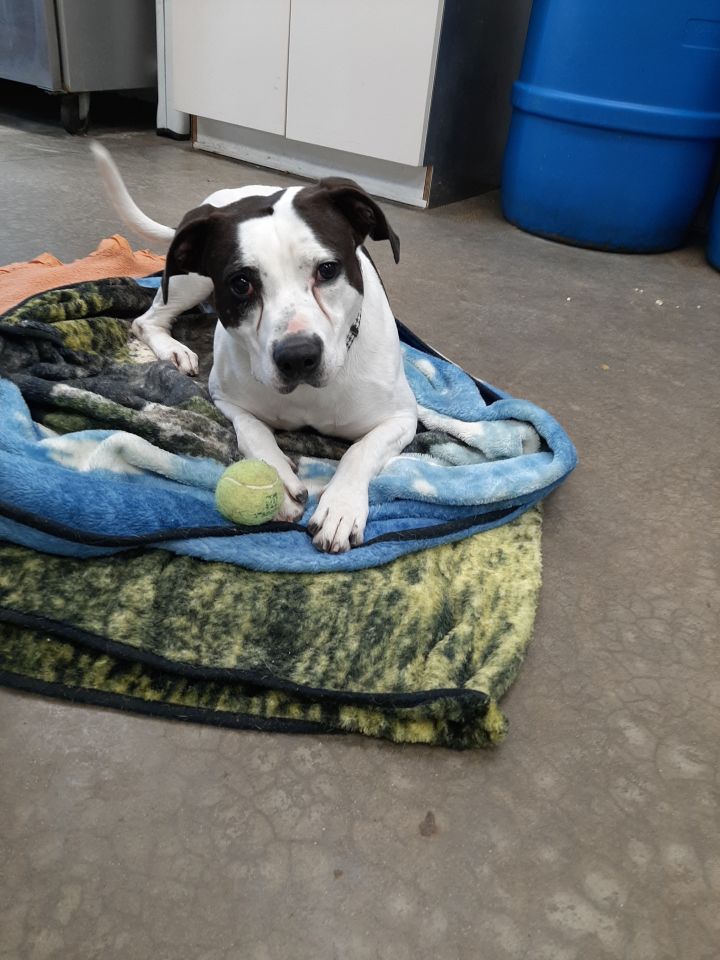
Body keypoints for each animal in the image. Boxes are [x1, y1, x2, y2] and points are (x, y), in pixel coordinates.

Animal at [91, 142, 416, 552]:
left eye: (327, 269)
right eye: (241, 283)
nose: (298, 357)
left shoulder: (402, 418)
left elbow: (360, 450)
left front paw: (341, 506)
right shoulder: (226, 398)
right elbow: (252, 430)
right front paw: (278, 474)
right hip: (188, 281)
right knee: (146, 320)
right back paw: (173, 350)